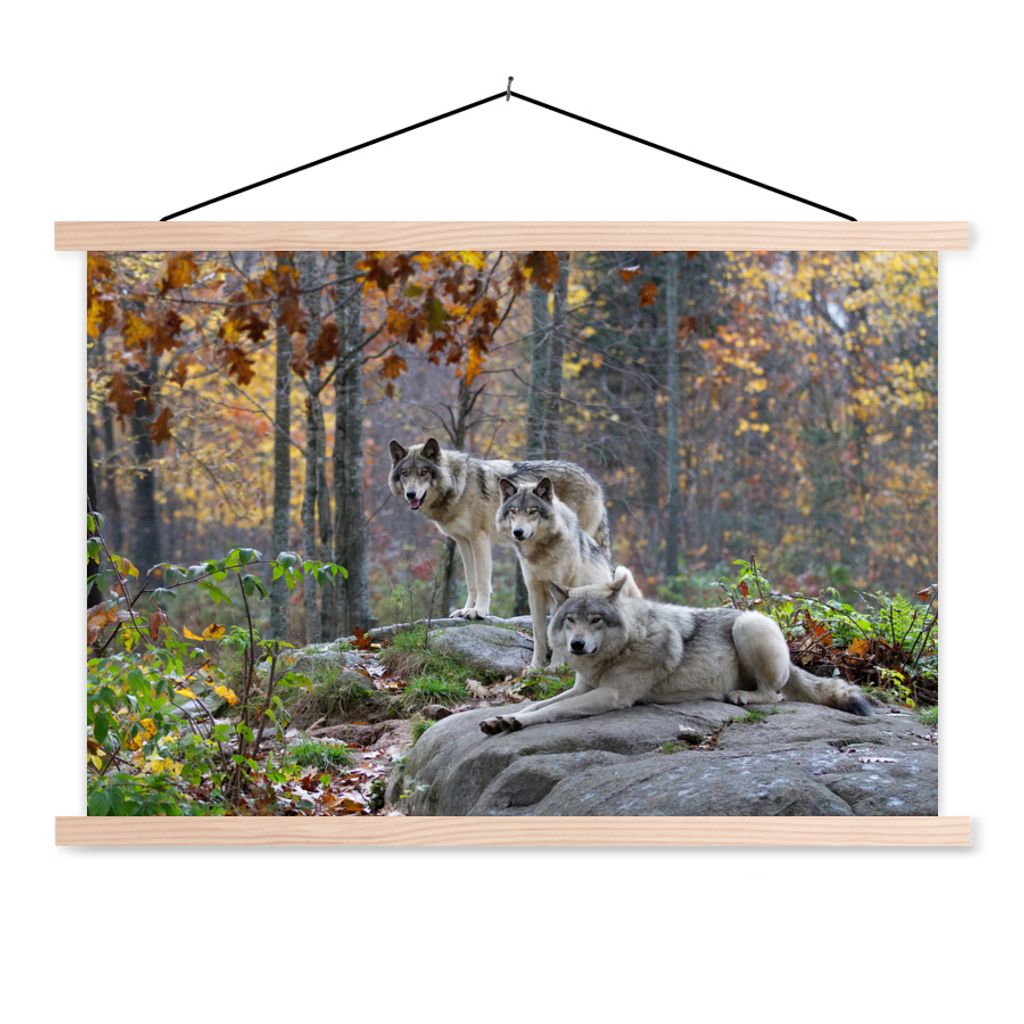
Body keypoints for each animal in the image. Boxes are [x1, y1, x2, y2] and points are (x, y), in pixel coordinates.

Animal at [388, 438, 609, 619]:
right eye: (405, 474)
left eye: (423, 473)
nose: (411, 494)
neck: (459, 485)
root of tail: (594, 481)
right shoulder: (463, 541)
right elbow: (471, 581)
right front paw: (466, 610)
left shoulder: (479, 538)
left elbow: (482, 581)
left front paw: (479, 612)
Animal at [480, 567, 872, 734]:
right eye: (571, 620)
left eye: (596, 620)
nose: (577, 645)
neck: (624, 645)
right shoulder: (584, 687)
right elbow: (538, 704)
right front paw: (504, 717)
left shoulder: (612, 695)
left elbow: (553, 710)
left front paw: (517, 722)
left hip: (748, 626)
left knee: (774, 695)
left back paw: (742, 696)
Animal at [495, 477, 641, 672]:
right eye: (514, 511)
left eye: (532, 511)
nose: (518, 532)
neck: (540, 553)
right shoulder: (534, 592)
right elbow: (539, 634)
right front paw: (535, 666)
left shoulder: (560, 590)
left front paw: (556, 665)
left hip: (622, 572)